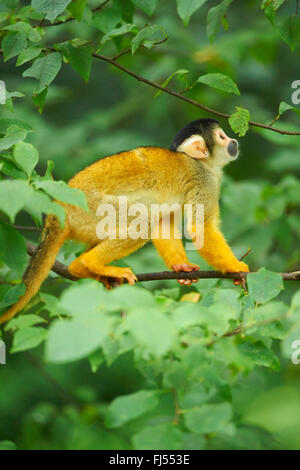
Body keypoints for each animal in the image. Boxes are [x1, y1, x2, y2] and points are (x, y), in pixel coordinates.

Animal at [0, 118, 248, 324]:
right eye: (222, 137)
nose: (234, 141)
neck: (203, 164)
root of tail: (58, 208)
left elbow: (163, 223)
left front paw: (181, 267)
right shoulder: (206, 181)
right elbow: (199, 227)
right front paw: (235, 266)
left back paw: (83, 269)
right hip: (91, 210)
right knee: (143, 220)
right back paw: (90, 263)